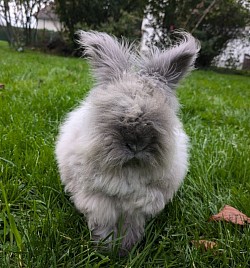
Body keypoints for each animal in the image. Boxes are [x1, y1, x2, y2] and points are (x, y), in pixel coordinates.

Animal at [55, 30, 200, 252]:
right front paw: (107, 249)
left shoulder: (140, 205)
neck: (129, 169)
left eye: (160, 116)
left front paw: (126, 249)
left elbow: (131, 226)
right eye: (111, 109)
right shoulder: (98, 200)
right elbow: (104, 223)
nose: (135, 144)